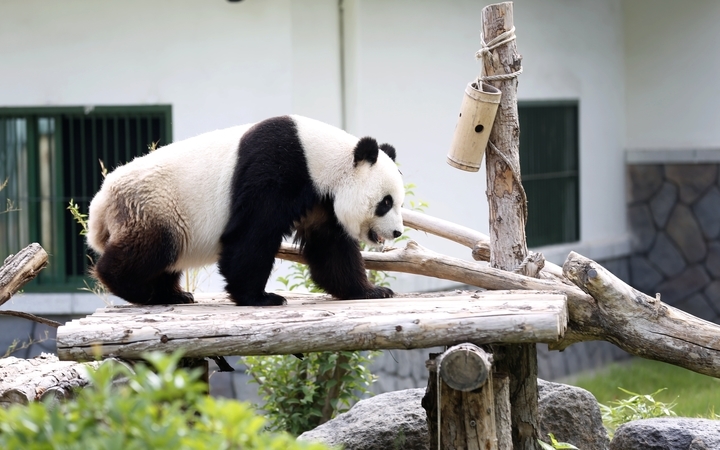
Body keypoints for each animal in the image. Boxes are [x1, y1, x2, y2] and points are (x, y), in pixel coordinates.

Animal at [86, 114, 404, 308]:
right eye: (386, 202)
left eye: (399, 202)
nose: (398, 232)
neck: (320, 157)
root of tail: (101, 202)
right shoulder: (275, 165)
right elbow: (253, 234)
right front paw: (261, 297)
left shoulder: (320, 200)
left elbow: (331, 247)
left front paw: (371, 291)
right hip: (157, 206)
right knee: (150, 249)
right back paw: (138, 289)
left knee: (165, 259)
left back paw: (174, 294)